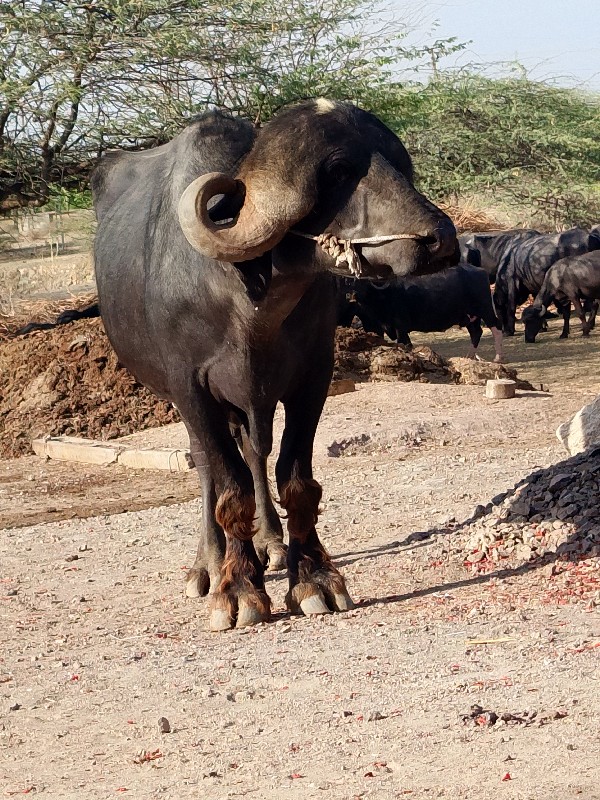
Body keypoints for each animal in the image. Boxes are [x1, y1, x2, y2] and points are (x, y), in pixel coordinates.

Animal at [91, 100, 458, 628]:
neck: (252, 305)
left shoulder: (313, 378)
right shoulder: (191, 388)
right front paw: (238, 588)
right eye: (340, 171)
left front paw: (314, 579)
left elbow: (295, 477)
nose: (440, 238)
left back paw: (271, 544)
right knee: (208, 465)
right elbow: (230, 488)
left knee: (255, 450)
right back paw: (208, 564)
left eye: (400, 166)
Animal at [338, 264, 502, 360]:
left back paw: (497, 358)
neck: (383, 295)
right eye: (349, 280)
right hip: (469, 317)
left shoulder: (401, 328)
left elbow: (405, 344)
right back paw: (468, 357)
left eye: (364, 280)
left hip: (485, 310)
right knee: (476, 332)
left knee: (496, 328)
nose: (352, 294)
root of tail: (481, 272)